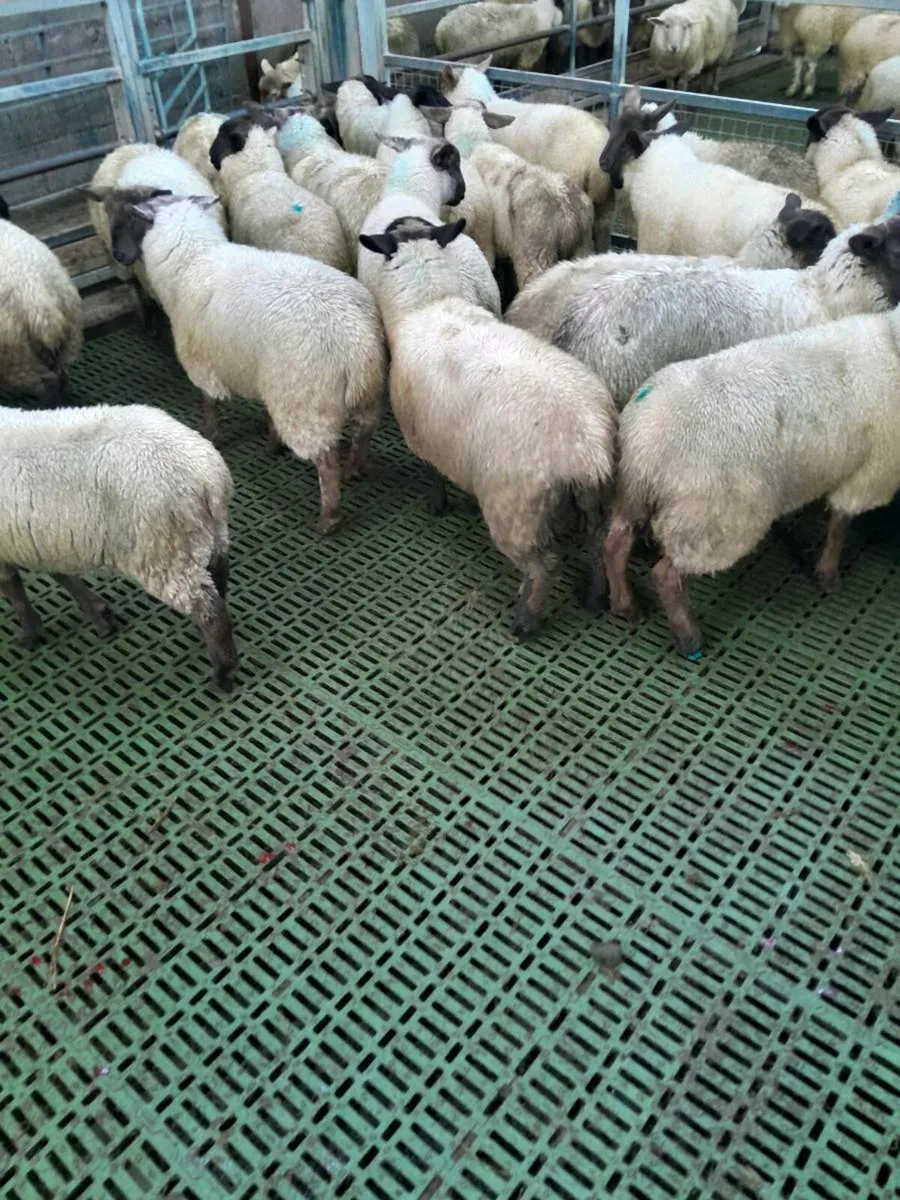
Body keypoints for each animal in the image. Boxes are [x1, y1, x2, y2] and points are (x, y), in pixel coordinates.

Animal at [0, 403, 237, 691]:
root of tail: (209, 478)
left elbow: (14, 590)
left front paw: (29, 633)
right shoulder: (45, 538)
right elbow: (61, 574)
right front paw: (100, 616)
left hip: (164, 551)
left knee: (210, 611)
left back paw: (224, 673)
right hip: (208, 536)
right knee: (218, 583)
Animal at [89, 191, 386, 534]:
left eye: (133, 220)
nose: (119, 256)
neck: (193, 258)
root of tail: (356, 343)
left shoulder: (202, 362)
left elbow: (209, 403)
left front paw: (209, 435)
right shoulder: (262, 373)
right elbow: (267, 413)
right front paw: (272, 442)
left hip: (307, 403)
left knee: (325, 461)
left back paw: (329, 517)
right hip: (360, 395)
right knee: (364, 431)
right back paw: (354, 468)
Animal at [359, 216, 617, 638]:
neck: (430, 305)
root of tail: (587, 449)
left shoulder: (423, 435)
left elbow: (433, 473)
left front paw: (437, 505)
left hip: (515, 509)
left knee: (543, 567)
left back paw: (525, 621)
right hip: (598, 498)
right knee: (598, 548)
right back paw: (594, 598)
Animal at [602, 218, 900, 659]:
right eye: (898, 247)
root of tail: (646, 440)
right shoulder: (871, 471)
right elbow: (840, 525)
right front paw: (828, 575)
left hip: (634, 495)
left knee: (615, 543)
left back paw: (625, 605)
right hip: (714, 519)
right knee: (666, 574)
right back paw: (688, 636)